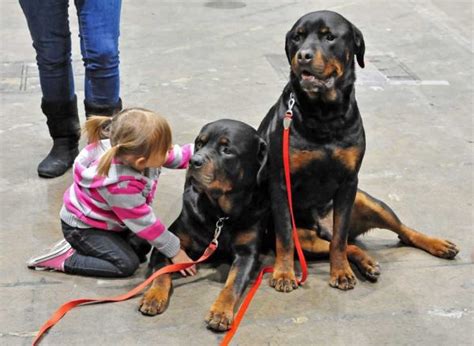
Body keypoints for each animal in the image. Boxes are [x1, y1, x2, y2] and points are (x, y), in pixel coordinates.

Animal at [139, 119, 268, 332]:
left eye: (227, 150)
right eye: (199, 143)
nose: (193, 161)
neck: (220, 215)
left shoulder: (247, 253)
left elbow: (233, 285)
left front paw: (221, 312)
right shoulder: (170, 243)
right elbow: (161, 274)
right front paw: (153, 296)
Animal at [260, 10, 460, 292]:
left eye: (329, 37)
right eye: (297, 38)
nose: (303, 55)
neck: (324, 114)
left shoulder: (349, 182)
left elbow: (340, 237)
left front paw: (341, 271)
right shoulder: (280, 181)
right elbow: (285, 235)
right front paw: (284, 273)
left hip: (369, 202)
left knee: (396, 231)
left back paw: (436, 244)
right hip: (308, 237)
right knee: (345, 243)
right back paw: (366, 263)